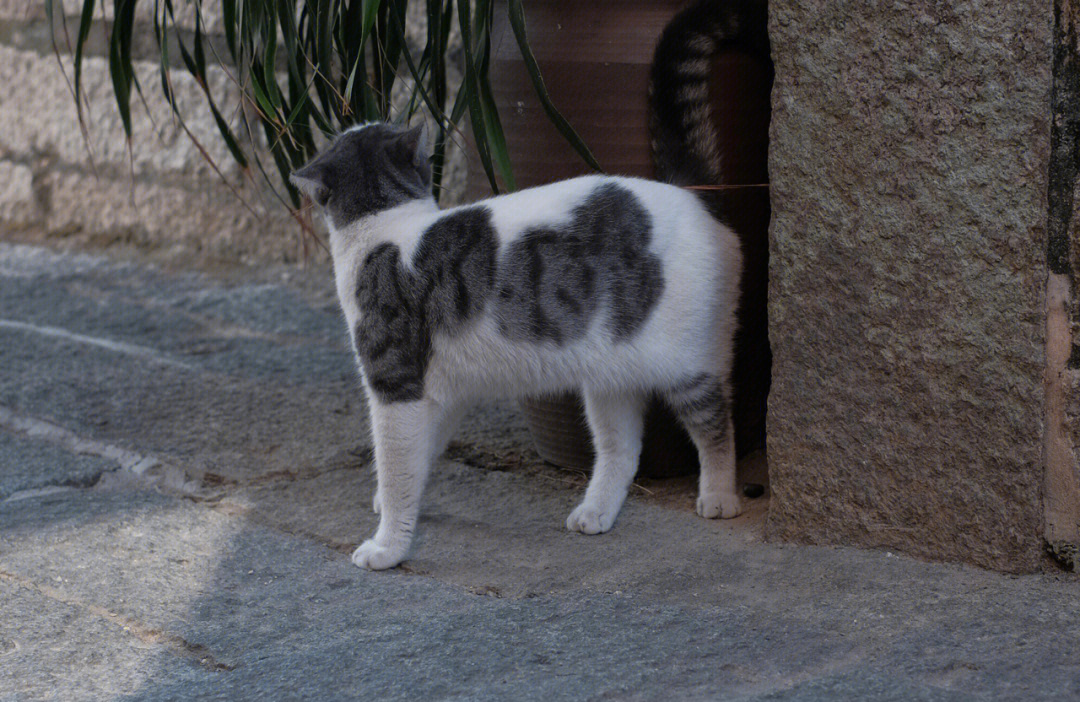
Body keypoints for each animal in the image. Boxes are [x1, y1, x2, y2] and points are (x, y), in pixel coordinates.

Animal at [287, 121, 743, 570]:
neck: (384, 222)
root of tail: (691, 195)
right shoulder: (443, 394)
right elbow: (421, 455)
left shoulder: (396, 387)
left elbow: (395, 467)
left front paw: (387, 547)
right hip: (610, 379)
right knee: (622, 450)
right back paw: (596, 511)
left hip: (690, 367)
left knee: (717, 427)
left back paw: (720, 496)